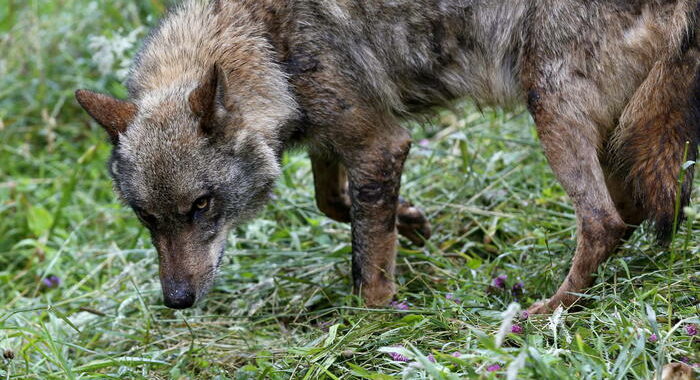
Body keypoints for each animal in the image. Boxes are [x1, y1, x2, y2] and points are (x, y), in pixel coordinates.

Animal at [75, 0, 700, 312]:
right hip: (620, 136)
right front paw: (413, 223)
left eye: (202, 206)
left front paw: (371, 327)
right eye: (146, 218)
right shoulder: (333, 138)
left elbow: (367, 263)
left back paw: (545, 314)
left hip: (552, 114)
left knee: (604, 222)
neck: (266, 41)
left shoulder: (379, 143)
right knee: (642, 209)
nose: (176, 301)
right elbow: (334, 203)